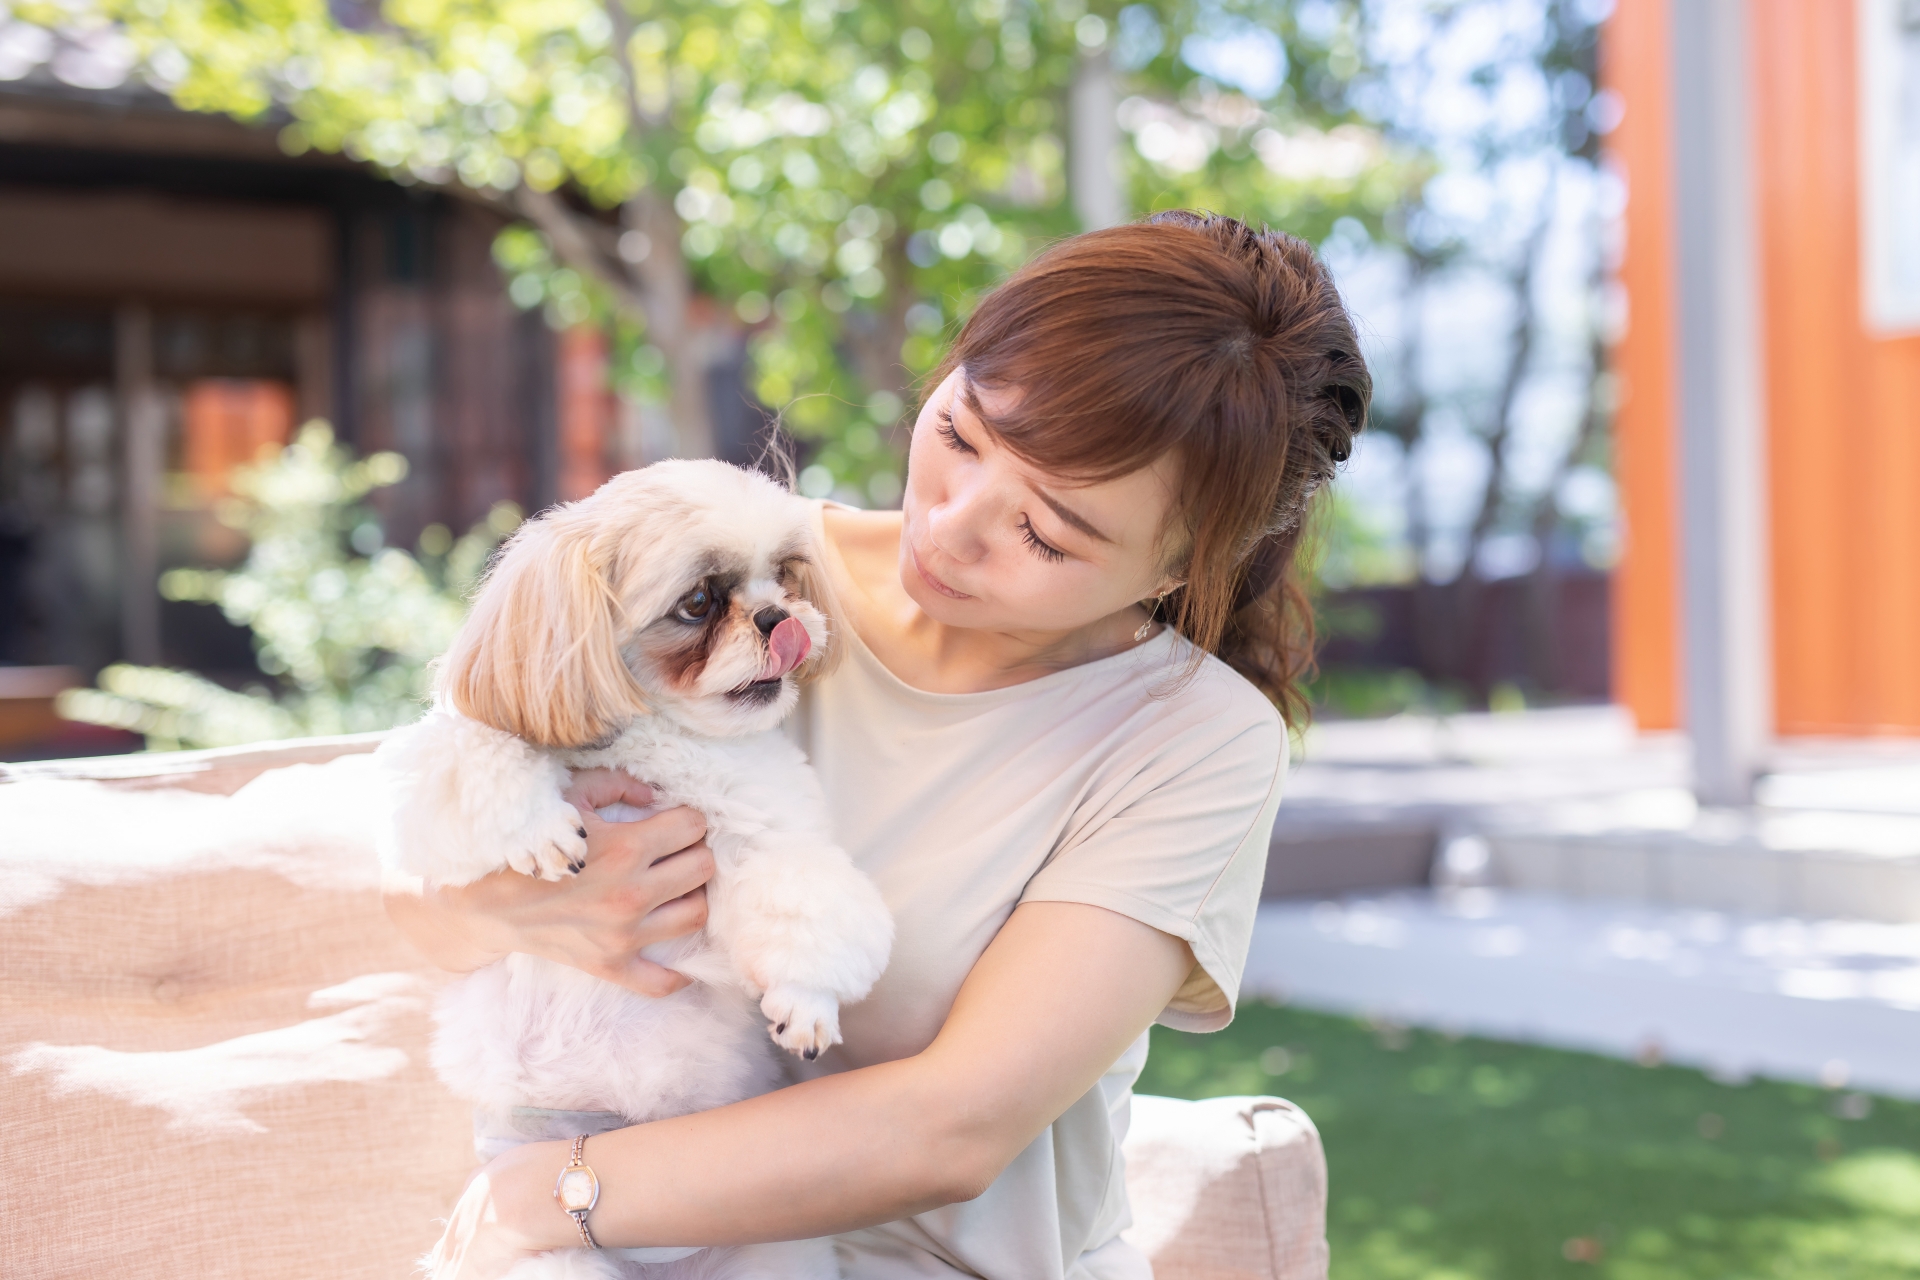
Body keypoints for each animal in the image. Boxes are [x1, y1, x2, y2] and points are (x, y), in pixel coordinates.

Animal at [376, 460, 898, 1280]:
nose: (777, 617)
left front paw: (806, 1000)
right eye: (699, 603)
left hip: (769, 1256)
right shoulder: (433, 781)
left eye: (785, 575)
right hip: (549, 1261)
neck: (659, 739)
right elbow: (481, 752)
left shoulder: (765, 835)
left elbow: (806, 905)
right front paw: (541, 829)